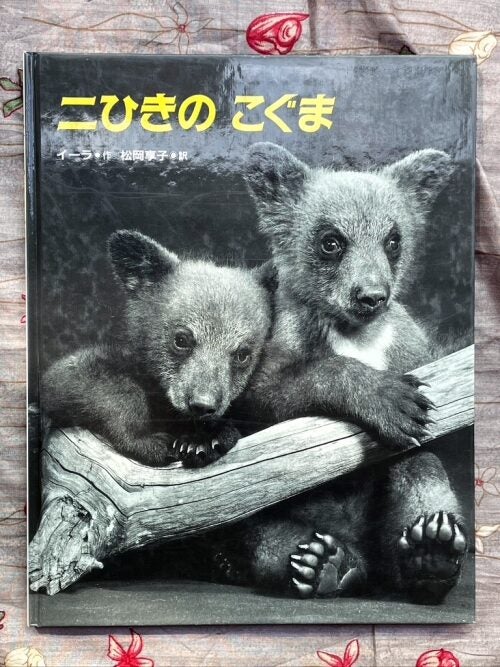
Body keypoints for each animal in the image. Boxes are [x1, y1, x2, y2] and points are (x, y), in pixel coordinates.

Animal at [41, 229, 275, 467]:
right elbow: (75, 377)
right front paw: (147, 440)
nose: (202, 404)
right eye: (181, 339)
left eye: (243, 354)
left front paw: (203, 440)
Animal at [203, 144, 468, 605]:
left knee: (420, 470)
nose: (371, 296)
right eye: (331, 242)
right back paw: (321, 563)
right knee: (259, 529)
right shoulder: (273, 347)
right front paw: (386, 398)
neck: (357, 336)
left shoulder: (414, 349)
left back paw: (430, 554)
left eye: (393, 240)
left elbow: (439, 442)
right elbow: (268, 396)